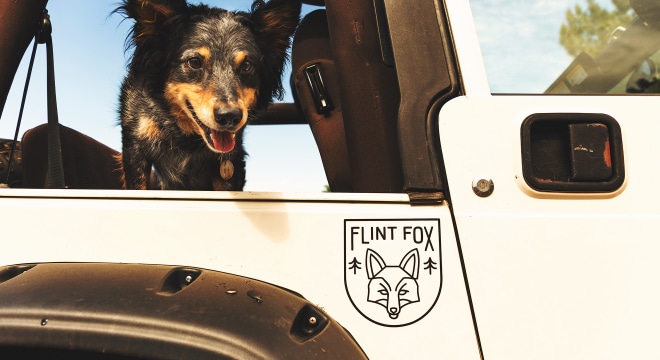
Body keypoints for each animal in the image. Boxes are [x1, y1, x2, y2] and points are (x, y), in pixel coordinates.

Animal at [115, 0, 300, 190]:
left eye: (247, 66)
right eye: (195, 62)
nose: (229, 116)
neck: (185, 136)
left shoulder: (230, 162)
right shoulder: (135, 147)